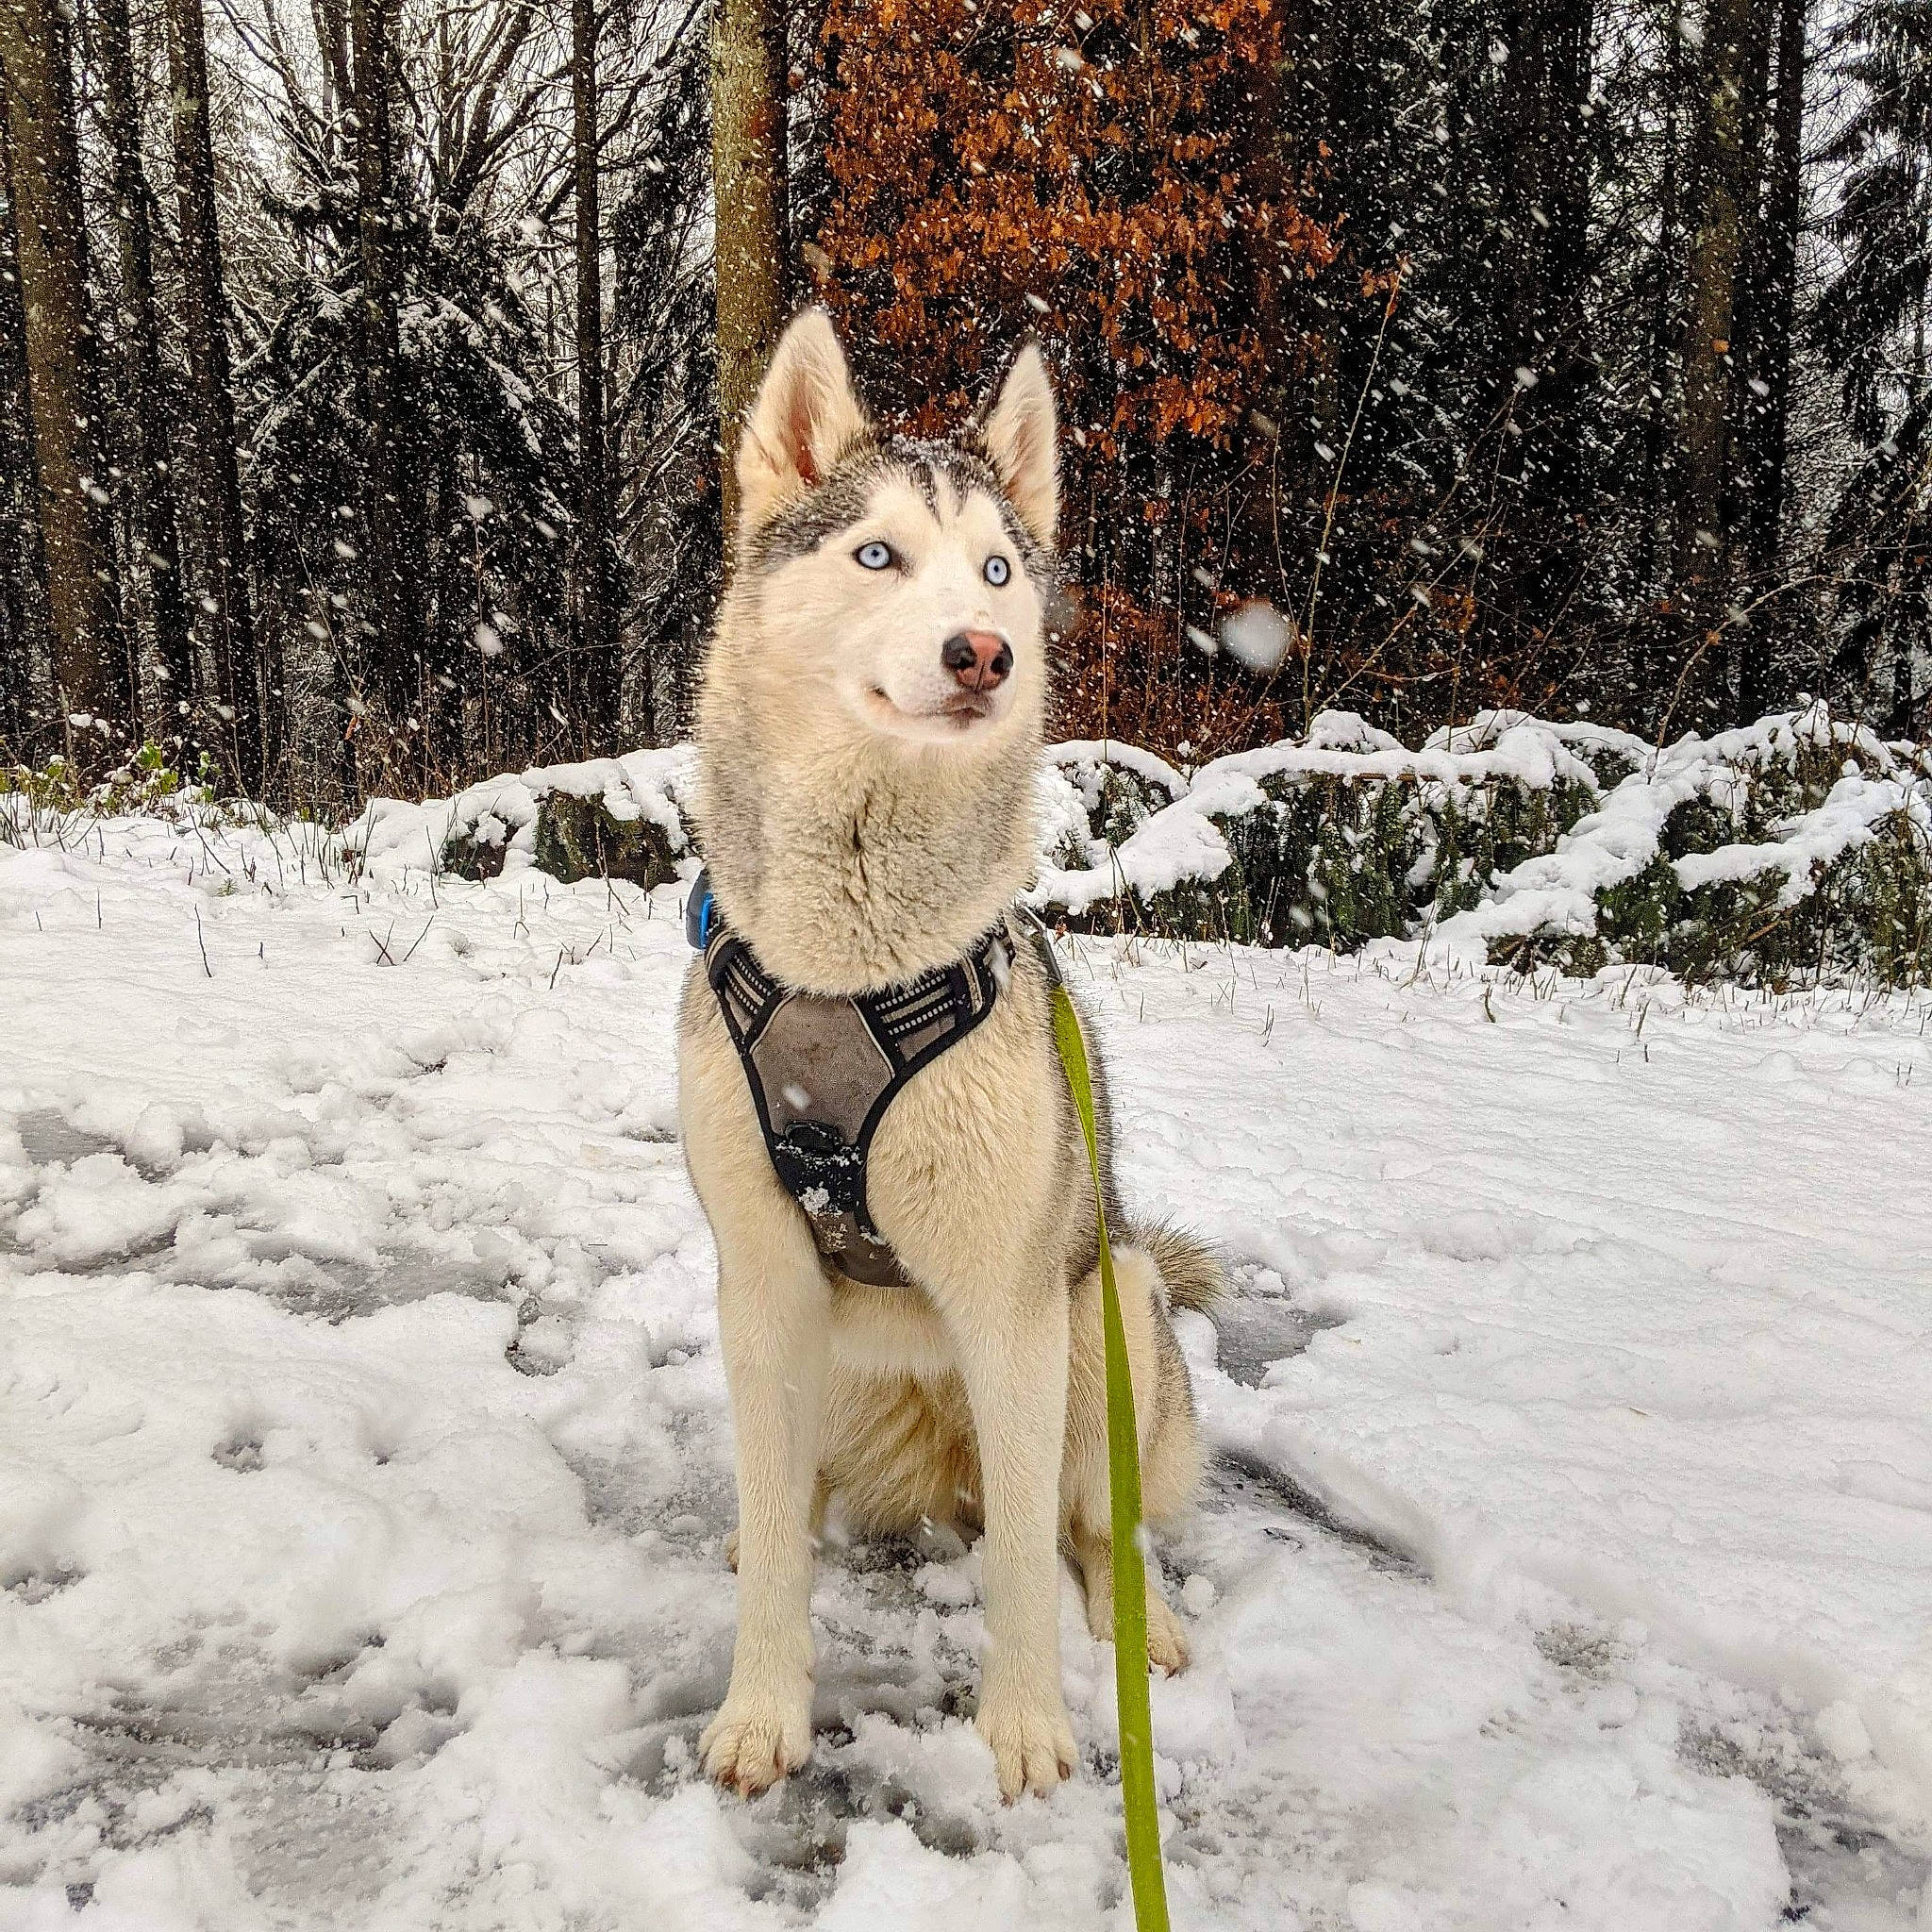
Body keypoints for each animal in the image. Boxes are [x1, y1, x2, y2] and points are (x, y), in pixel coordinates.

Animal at [676, 308, 1220, 1802]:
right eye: (878, 556)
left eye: (996, 568)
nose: (983, 650)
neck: (851, 965)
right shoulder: (759, 1279)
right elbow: (774, 1548)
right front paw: (762, 1709)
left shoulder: (1012, 1305)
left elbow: (1031, 1559)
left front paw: (1027, 1726)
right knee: (799, 1490)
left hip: (1110, 1306)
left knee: (1089, 1525)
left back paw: (1146, 1628)